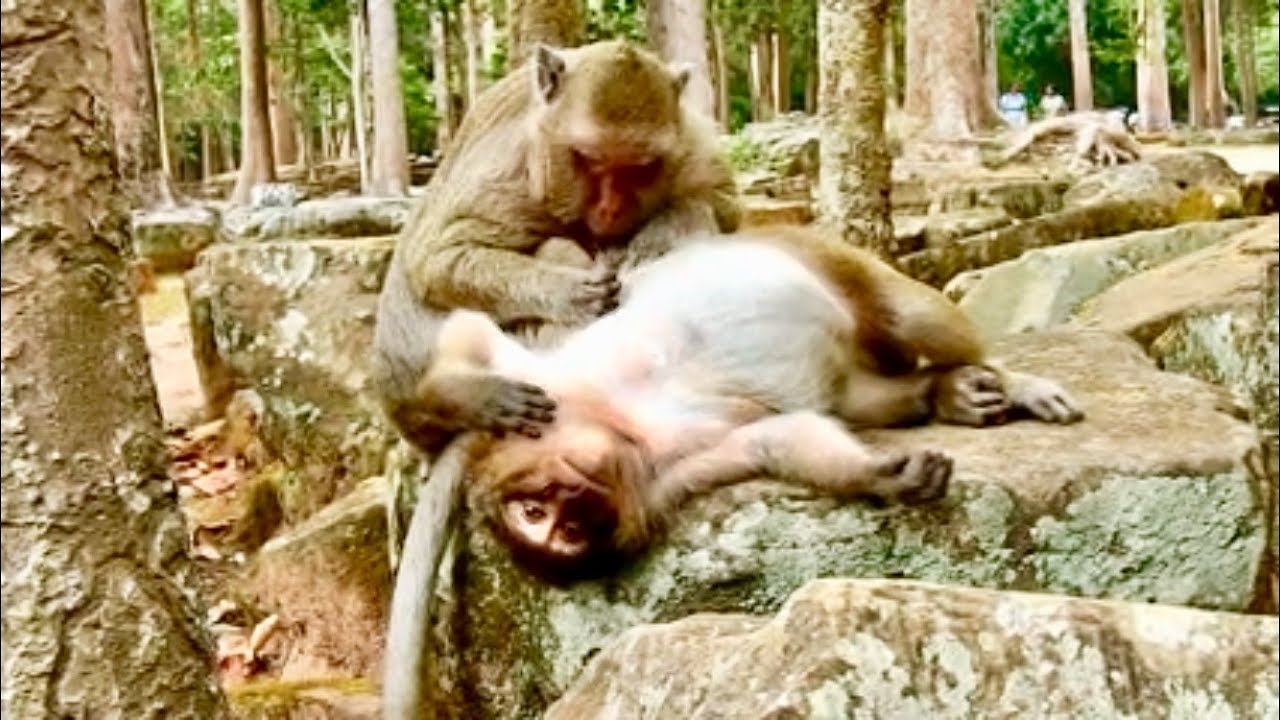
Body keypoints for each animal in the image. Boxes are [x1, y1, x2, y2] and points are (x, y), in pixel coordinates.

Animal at [371, 39, 741, 459]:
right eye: (591, 160)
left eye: (640, 168)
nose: (611, 208)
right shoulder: (514, 170)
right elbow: (435, 259)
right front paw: (569, 294)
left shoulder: (689, 143)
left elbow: (723, 203)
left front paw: (658, 236)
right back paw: (455, 392)